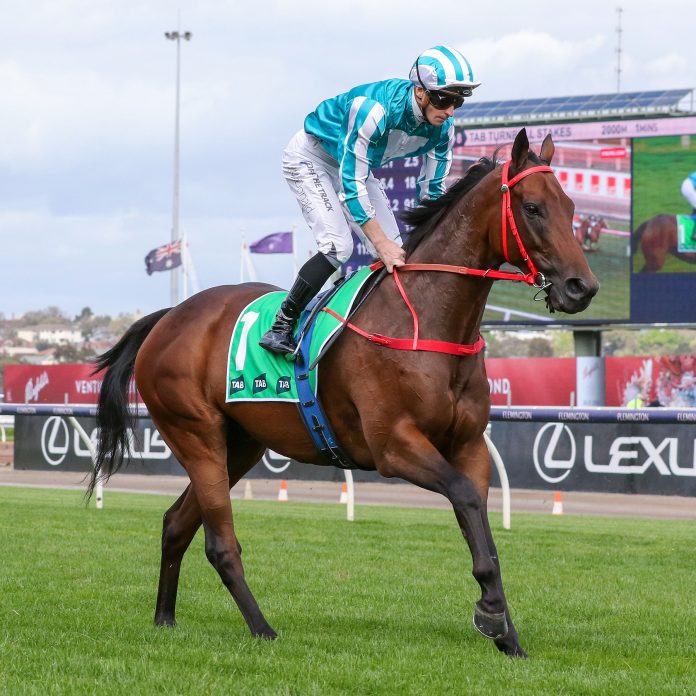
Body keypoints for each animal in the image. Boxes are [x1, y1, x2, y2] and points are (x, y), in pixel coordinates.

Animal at [88, 129, 600, 656]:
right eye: (533, 207)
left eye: (570, 206)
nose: (581, 287)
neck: (425, 322)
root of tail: (167, 318)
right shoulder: (394, 445)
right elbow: (464, 498)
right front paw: (493, 614)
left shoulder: (470, 446)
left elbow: (480, 523)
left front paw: (506, 633)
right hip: (196, 435)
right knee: (219, 542)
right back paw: (262, 627)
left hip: (241, 446)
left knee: (176, 523)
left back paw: (164, 619)